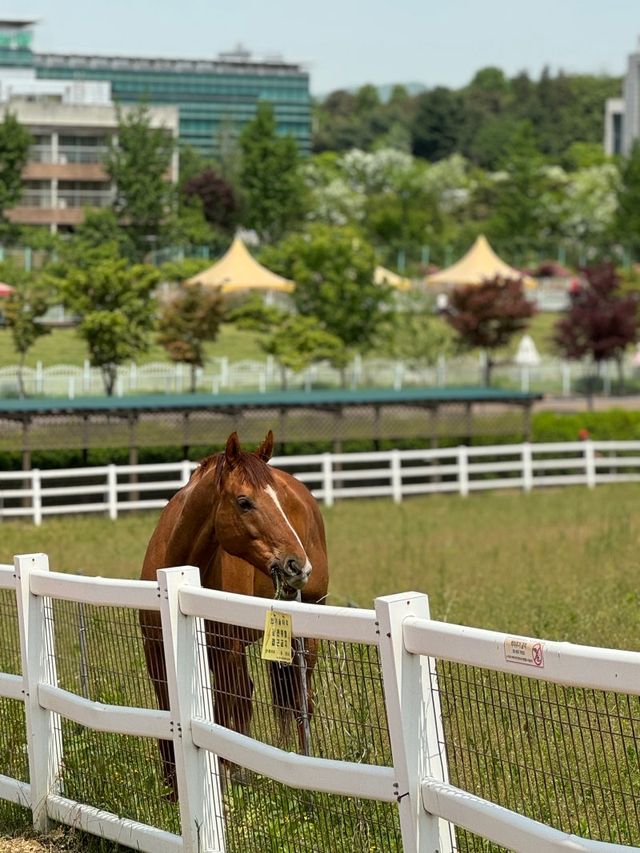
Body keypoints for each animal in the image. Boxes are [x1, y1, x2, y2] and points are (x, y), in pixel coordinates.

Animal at [138, 430, 328, 796]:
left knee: (300, 701)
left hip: (304, 635)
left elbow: (225, 710)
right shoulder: (156, 651)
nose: (297, 565)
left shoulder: (227, 650)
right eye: (244, 502)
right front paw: (171, 787)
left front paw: (224, 778)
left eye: (280, 502)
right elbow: (167, 709)